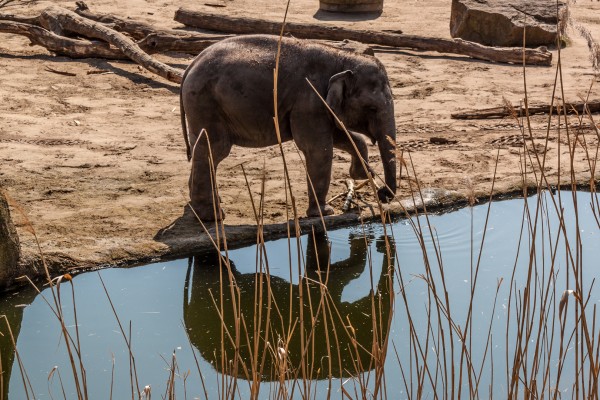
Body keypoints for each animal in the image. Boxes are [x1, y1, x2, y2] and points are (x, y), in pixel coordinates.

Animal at [183, 33, 398, 222]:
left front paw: (359, 174)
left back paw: (201, 206)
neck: (341, 58)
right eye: (372, 108)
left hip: (200, 108)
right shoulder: (308, 101)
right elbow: (318, 149)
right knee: (214, 149)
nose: (383, 194)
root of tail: (192, 63)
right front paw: (324, 212)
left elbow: (341, 136)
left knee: (199, 146)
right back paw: (212, 217)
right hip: (206, 103)